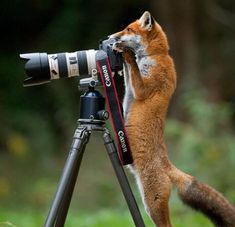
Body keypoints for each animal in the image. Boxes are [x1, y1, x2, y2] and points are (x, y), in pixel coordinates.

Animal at [110, 11, 235, 227]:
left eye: (128, 29)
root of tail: (168, 167)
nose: (110, 37)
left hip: (151, 203)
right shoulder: (132, 87)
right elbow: (127, 75)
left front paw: (126, 54)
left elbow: (133, 69)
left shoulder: (144, 89)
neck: (156, 56)